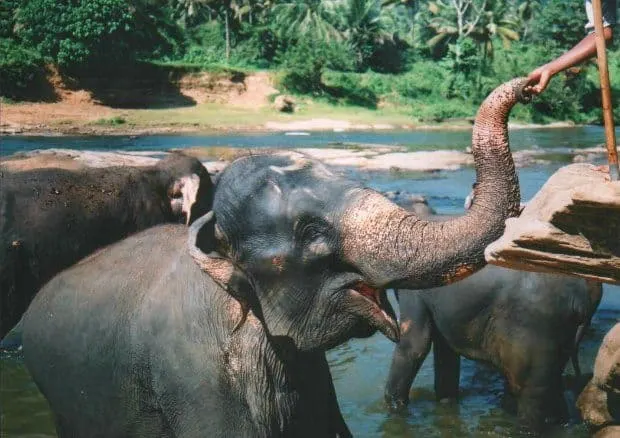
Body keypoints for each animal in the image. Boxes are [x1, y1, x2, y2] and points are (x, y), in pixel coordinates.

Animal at [386, 195, 604, 432]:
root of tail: (581, 295)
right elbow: (445, 352)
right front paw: (446, 403)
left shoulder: (414, 289)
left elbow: (414, 345)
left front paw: (392, 409)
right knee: (553, 385)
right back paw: (561, 423)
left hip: (537, 325)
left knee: (529, 391)